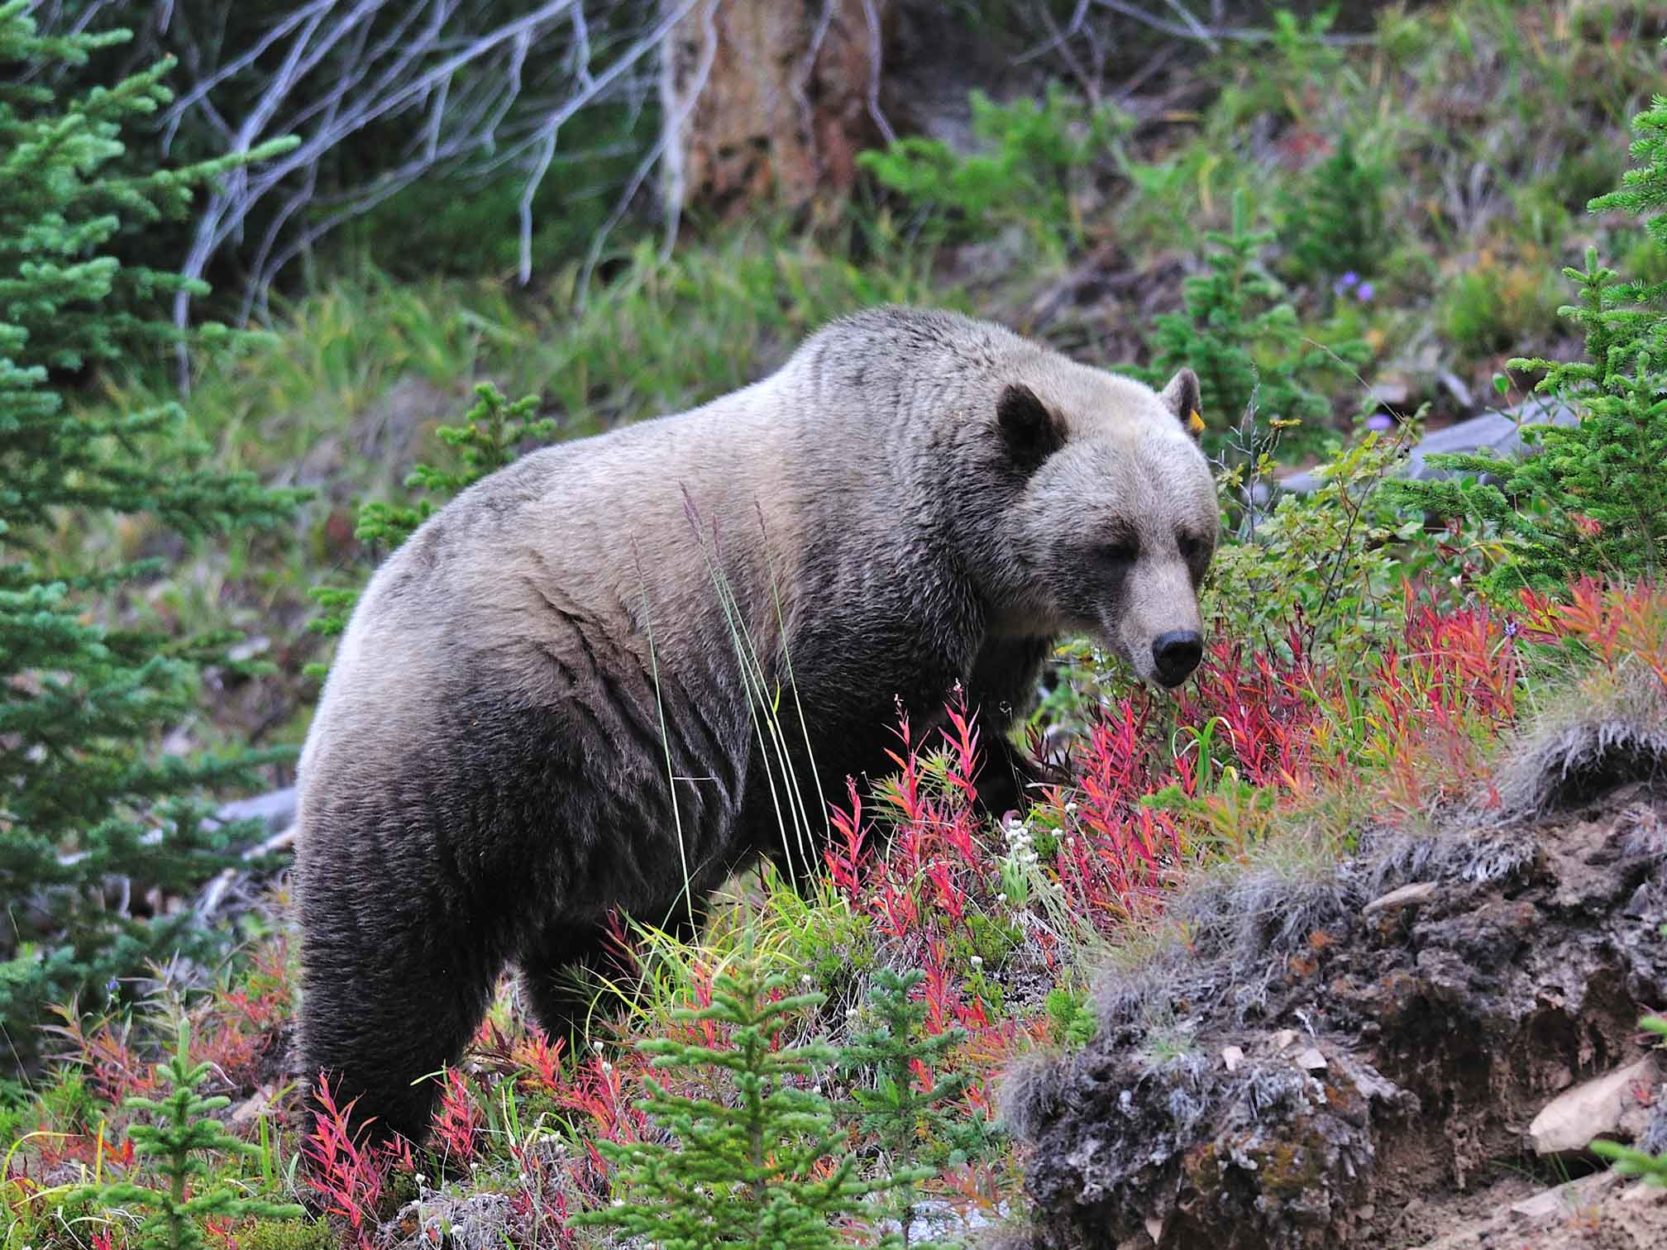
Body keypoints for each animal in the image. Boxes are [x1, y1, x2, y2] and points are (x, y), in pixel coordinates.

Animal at [293, 311, 1220, 1146]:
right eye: (1112, 543)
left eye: (1189, 537)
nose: (1175, 647)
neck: (965, 549)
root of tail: (354, 631)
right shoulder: (834, 612)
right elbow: (825, 781)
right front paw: (857, 885)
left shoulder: (978, 644)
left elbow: (972, 750)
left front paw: (1043, 790)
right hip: (470, 762)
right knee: (393, 979)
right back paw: (363, 1155)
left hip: (606, 822)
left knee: (600, 957)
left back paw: (612, 1048)